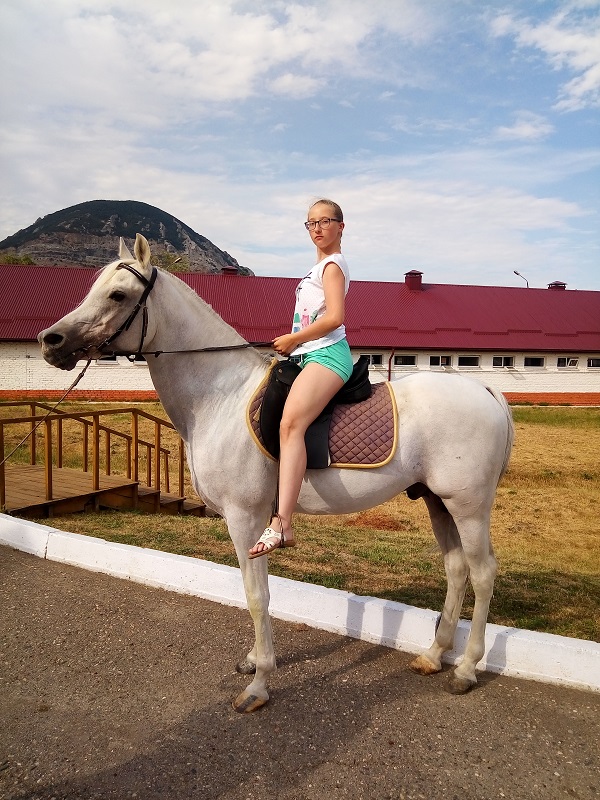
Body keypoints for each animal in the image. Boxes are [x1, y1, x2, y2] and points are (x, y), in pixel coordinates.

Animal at [39, 233, 514, 712]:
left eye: (118, 295)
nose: (50, 340)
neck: (220, 395)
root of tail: (485, 389)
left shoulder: (244, 516)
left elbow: (256, 596)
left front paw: (259, 682)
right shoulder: (254, 521)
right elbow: (259, 589)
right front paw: (254, 661)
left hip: (468, 506)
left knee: (482, 572)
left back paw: (466, 669)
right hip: (438, 502)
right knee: (456, 569)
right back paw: (434, 656)